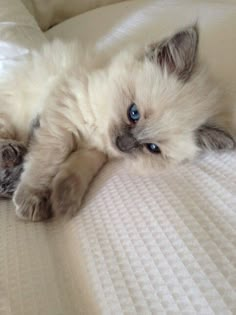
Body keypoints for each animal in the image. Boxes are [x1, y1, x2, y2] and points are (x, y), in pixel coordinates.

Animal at [0, 24, 234, 221]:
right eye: (133, 113)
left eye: (152, 148)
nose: (122, 143)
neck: (98, 132)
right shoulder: (62, 120)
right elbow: (47, 162)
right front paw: (32, 199)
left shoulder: (94, 151)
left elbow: (76, 170)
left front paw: (63, 202)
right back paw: (10, 153)